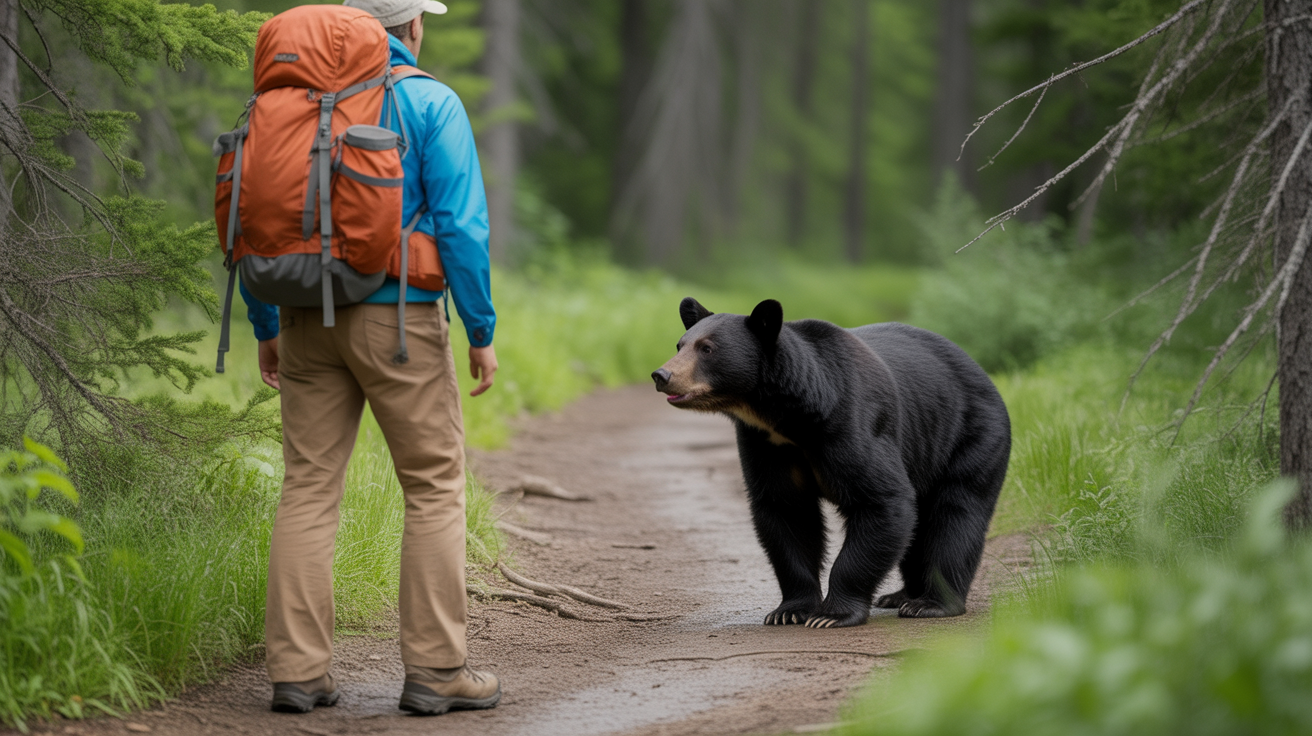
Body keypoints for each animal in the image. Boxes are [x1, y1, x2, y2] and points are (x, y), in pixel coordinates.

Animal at [651, 297, 1011, 628]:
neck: (787, 419)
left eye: (707, 348)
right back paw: (901, 595)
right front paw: (789, 611)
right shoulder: (764, 444)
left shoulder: (850, 427)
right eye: (680, 345)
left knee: (955, 514)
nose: (662, 374)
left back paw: (931, 603)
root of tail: (984, 375)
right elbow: (786, 512)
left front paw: (831, 614)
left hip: (970, 436)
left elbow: (882, 500)